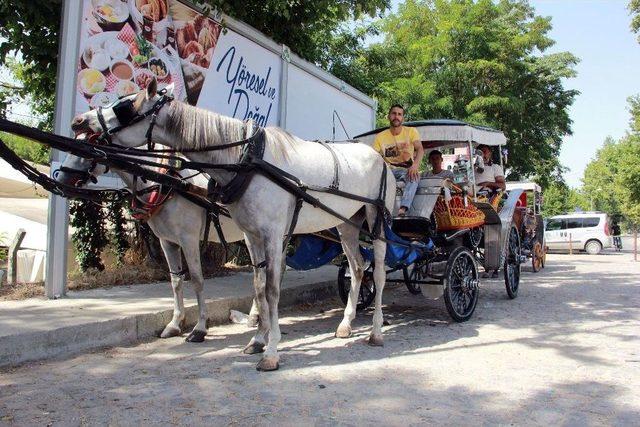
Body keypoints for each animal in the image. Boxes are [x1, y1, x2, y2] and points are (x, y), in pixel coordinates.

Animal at [55, 153, 248, 342]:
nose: (61, 178)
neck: (166, 183)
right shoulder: (167, 241)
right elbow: (176, 281)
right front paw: (174, 324)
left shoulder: (189, 239)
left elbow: (197, 280)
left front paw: (200, 328)